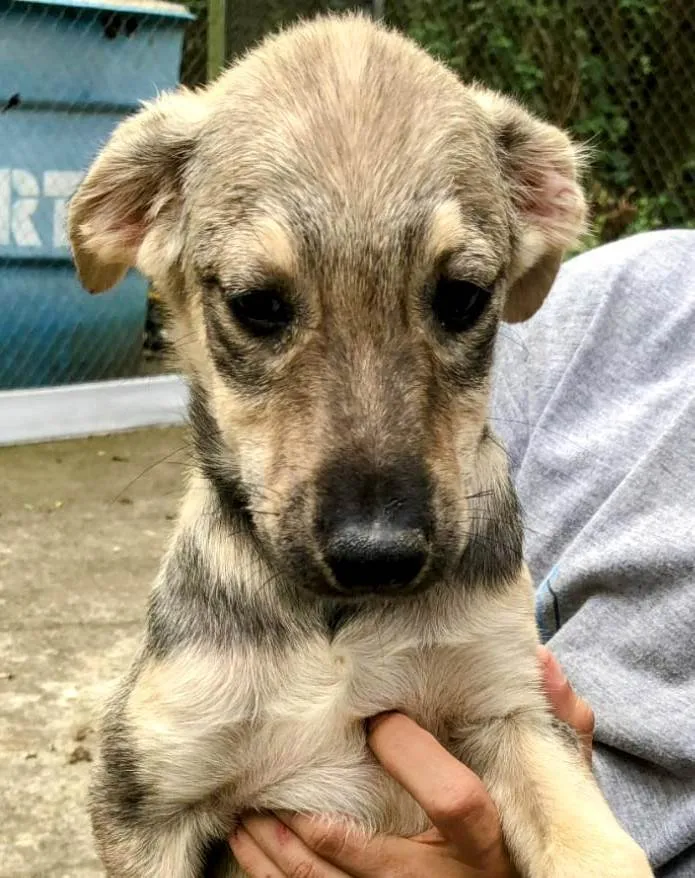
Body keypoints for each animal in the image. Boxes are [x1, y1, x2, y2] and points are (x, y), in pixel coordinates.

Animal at [68, 13, 656, 878]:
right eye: (257, 305)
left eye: (462, 297)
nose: (377, 556)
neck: (337, 625)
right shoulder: (150, 790)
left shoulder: (511, 708)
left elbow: (598, 849)